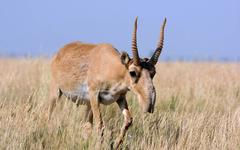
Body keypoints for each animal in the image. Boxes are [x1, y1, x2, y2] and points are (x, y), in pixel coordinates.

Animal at [48, 17, 167, 148]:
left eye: (153, 72)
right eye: (132, 72)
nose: (149, 105)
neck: (112, 66)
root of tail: (59, 53)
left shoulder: (120, 98)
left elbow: (128, 120)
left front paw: (115, 144)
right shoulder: (94, 96)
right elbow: (100, 124)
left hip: (88, 104)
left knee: (86, 125)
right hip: (56, 93)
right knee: (49, 114)